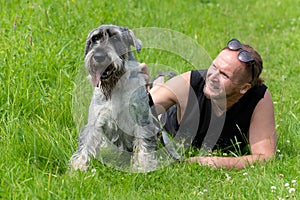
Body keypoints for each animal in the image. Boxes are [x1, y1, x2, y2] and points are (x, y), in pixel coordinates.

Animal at [69, 24, 159, 172]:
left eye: (116, 38)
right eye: (95, 39)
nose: (99, 56)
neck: (115, 86)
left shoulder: (141, 120)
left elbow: (143, 145)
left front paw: (143, 167)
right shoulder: (95, 121)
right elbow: (86, 143)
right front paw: (78, 167)